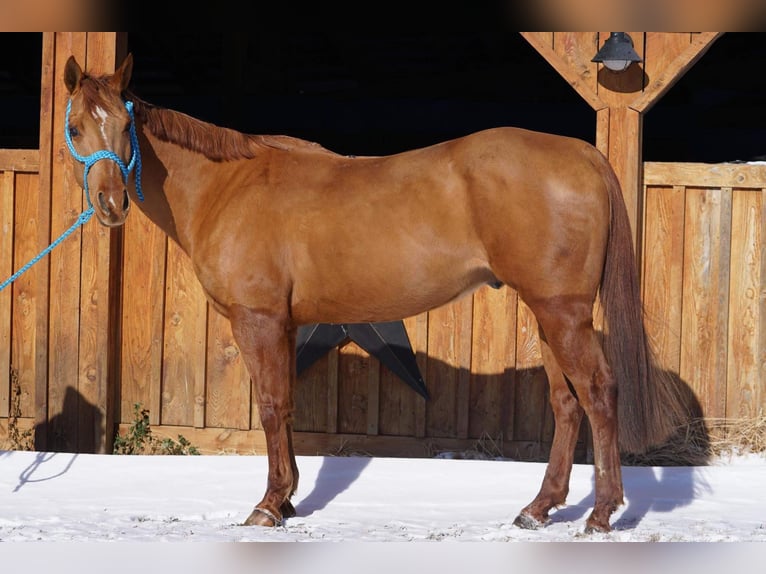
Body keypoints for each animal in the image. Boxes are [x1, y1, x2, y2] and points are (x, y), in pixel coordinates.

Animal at [64, 54, 688, 536]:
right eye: (74, 128)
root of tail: (583, 153)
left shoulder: (257, 320)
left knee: (600, 393)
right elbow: (286, 408)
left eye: (122, 126)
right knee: (566, 403)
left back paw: (601, 515)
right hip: (549, 314)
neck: (229, 187)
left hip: (564, 313)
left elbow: (271, 405)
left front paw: (268, 506)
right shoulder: (285, 325)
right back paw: (537, 509)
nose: (111, 205)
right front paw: (288, 500)